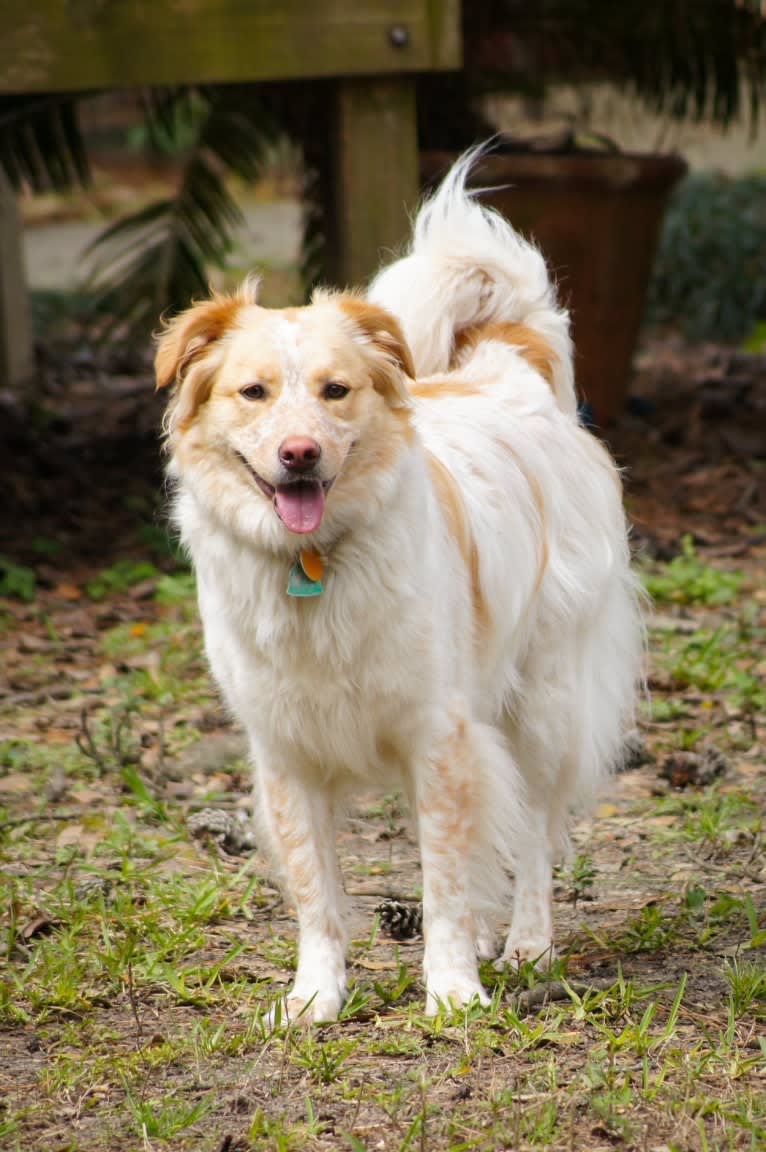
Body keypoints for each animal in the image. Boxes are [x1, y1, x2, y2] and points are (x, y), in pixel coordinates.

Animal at [156, 148, 645, 1022]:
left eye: (335, 389)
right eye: (253, 392)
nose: (301, 455)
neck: (313, 566)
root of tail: (509, 370)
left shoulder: (439, 737)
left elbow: (444, 879)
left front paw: (452, 991)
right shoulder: (286, 755)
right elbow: (318, 894)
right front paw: (316, 998)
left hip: (544, 705)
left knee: (534, 832)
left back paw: (526, 945)